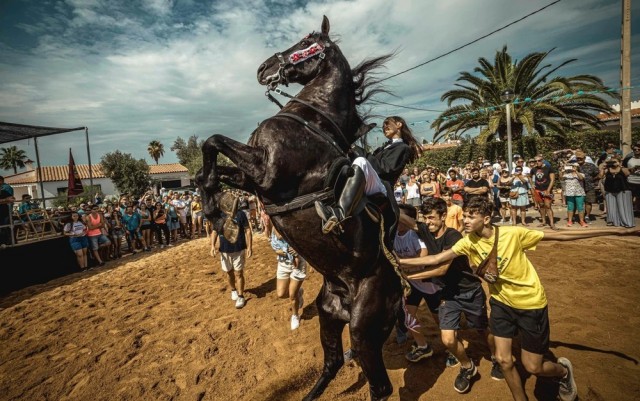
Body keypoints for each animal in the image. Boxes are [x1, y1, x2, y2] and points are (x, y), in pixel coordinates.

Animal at [198, 14, 402, 396]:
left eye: (307, 43)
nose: (263, 68)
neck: (314, 120)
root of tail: (400, 291)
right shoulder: (252, 179)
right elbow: (211, 162)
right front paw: (212, 201)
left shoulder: (266, 173)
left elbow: (212, 140)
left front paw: (209, 203)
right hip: (328, 315)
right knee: (332, 364)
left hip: (363, 329)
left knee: (380, 387)